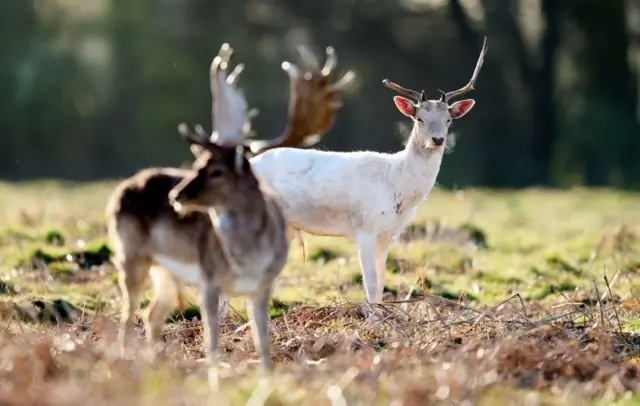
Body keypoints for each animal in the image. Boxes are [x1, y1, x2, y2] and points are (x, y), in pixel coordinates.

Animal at [105, 42, 356, 370]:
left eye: (217, 171)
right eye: (198, 163)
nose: (176, 195)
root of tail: (124, 186)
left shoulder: (263, 285)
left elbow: (262, 340)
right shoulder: (209, 281)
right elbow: (213, 336)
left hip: (166, 273)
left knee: (152, 314)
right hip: (131, 255)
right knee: (128, 314)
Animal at [248, 38, 488, 306]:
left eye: (448, 119)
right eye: (419, 118)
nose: (437, 140)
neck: (397, 187)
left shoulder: (387, 235)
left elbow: (382, 283)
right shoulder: (365, 229)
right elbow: (371, 285)